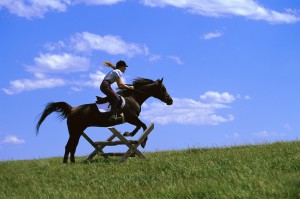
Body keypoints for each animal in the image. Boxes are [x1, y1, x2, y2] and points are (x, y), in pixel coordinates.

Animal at [35, 77, 173, 163]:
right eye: (163, 88)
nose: (170, 101)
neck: (133, 97)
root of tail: (72, 109)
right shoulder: (131, 117)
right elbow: (142, 126)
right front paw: (140, 140)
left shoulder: (131, 119)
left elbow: (140, 126)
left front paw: (129, 135)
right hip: (75, 130)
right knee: (69, 145)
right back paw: (66, 163)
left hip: (77, 131)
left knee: (72, 145)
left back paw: (71, 162)